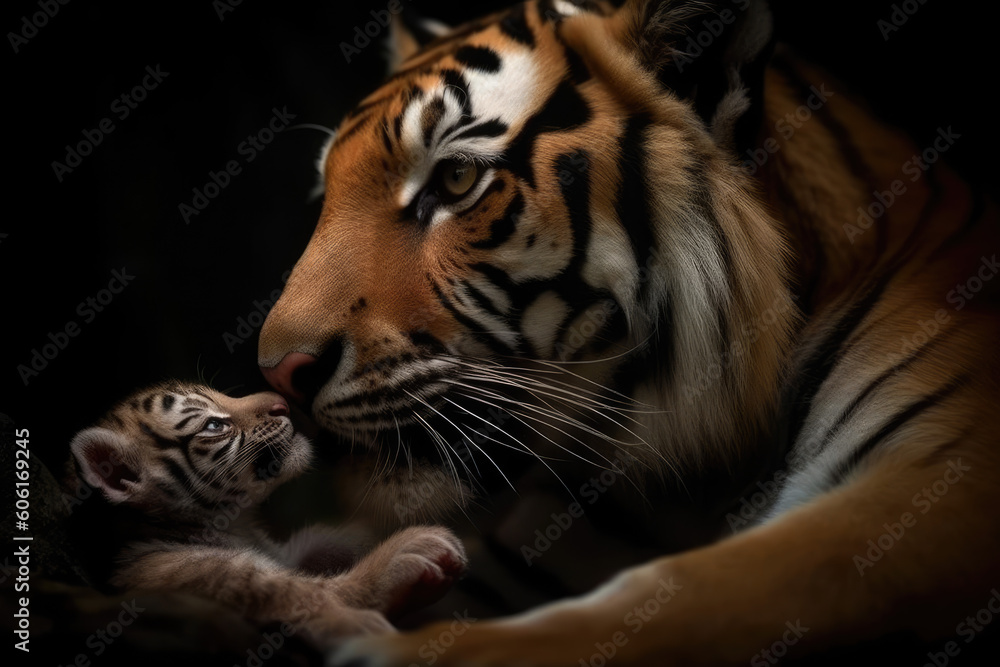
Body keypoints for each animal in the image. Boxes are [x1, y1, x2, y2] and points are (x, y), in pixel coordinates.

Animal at [63, 381, 468, 650]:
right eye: (214, 425)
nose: (282, 403)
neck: (237, 524)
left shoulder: (283, 550)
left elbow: (328, 537)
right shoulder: (223, 580)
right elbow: (308, 591)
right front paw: (408, 552)